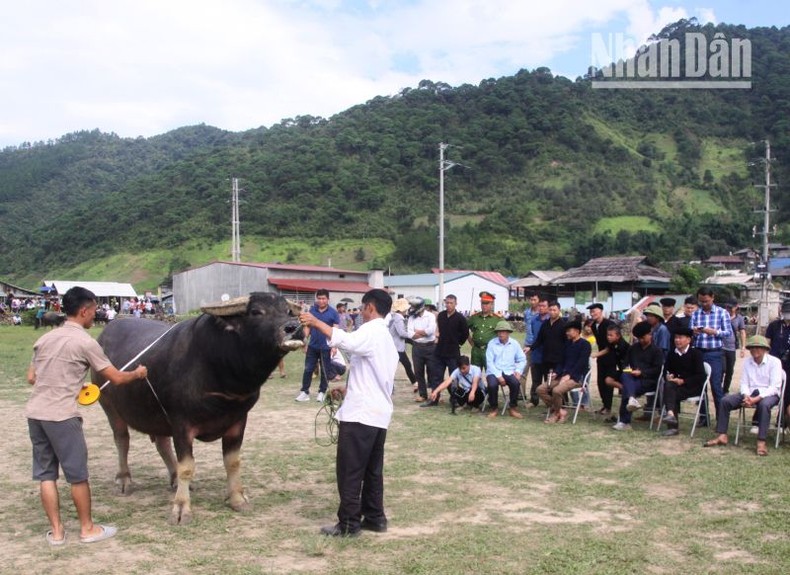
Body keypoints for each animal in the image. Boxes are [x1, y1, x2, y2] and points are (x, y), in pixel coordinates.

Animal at [93, 294, 304, 524]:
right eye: (256, 312)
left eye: (288, 311)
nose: (294, 328)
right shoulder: (181, 424)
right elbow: (187, 467)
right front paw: (181, 509)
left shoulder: (238, 420)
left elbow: (233, 462)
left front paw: (237, 499)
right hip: (109, 406)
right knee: (122, 440)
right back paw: (124, 480)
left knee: (161, 444)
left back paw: (174, 479)